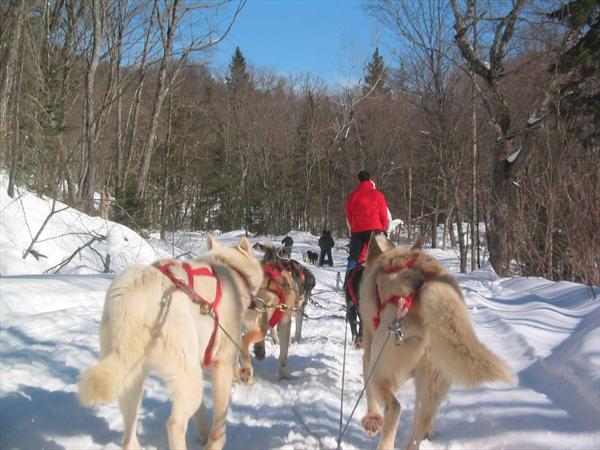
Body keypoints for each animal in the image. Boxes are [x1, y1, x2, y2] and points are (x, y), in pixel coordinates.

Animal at [78, 236, 262, 450]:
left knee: (128, 437)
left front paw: (203, 433)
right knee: (174, 424)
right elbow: (219, 424)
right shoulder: (222, 362)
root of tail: (131, 302)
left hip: (130, 380)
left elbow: (201, 412)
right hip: (189, 377)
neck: (229, 268)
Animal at [358, 234, 512, 448]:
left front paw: (372, 419)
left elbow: (369, 395)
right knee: (421, 424)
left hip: (381, 370)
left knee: (395, 408)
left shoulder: (368, 355)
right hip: (433, 382)